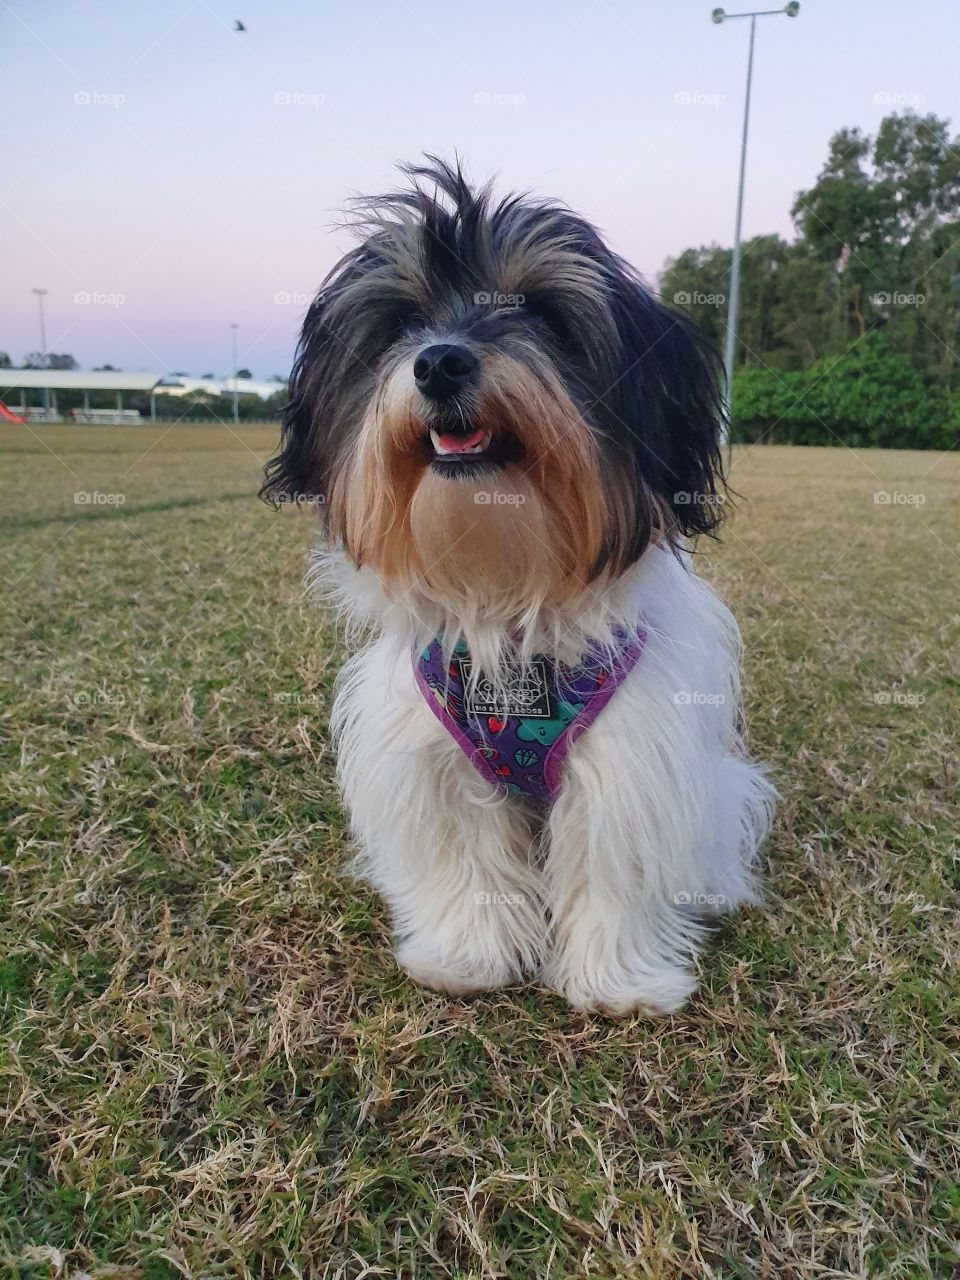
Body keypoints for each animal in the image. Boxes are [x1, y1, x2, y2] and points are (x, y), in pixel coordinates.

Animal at [267, 160, 778, 1013]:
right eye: (404, 322)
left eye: (540, 311)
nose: (440, 361)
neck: (508, 597)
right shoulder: (431, 757)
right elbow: (465, 860)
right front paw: (466, 958)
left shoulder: (629, 757)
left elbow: (611, 866)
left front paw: (617, 982)